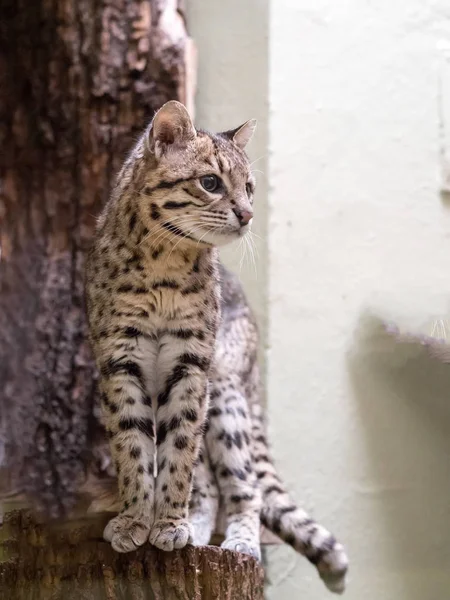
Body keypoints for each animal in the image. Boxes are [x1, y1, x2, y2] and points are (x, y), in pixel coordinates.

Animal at [86, 101, 350, 592]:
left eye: (249, 187)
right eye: (210, 183)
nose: (247, 214)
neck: (162, 264)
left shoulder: (190, 364)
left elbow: (178, 456)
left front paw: (168, 522)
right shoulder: (119, 361)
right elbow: (132, 448)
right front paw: (136, 521)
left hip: (225, 394)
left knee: (245, 487)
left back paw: (237, 543)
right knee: (209, 483)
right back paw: (195, 529)